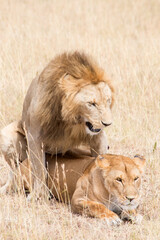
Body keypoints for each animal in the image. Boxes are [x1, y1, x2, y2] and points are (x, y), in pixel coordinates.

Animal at [21, 51, 114, 198]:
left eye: (108, 101)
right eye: (91, 104)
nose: (107, 124)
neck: (70, 120)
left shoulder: (99, 138)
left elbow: (100, 158)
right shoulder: (34, 136)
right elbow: (38, 168)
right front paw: (39, 195)